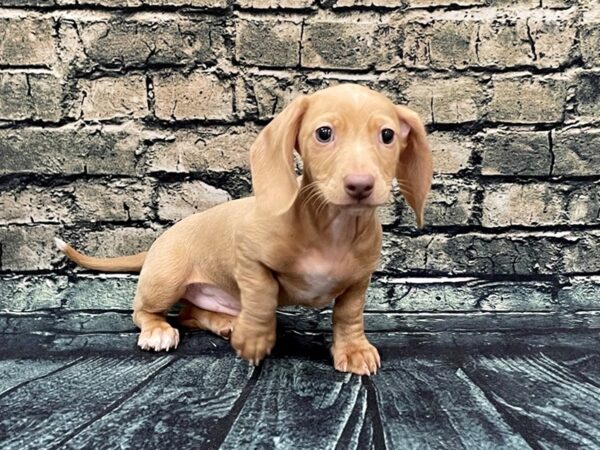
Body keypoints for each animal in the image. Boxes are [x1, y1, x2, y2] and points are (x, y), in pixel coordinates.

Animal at [56, 84, 432, 376]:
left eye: (387, 136)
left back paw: (224, 322)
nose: (360, 185)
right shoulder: (250, 258)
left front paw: (352, 349)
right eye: (324, 133)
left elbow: (349, 314)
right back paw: (160, 330)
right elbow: (262, 296)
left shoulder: (358, 281)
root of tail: (158, 243)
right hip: (165, 281)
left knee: (191, 315)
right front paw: (255, 338)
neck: (332, 228)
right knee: (144, 311)